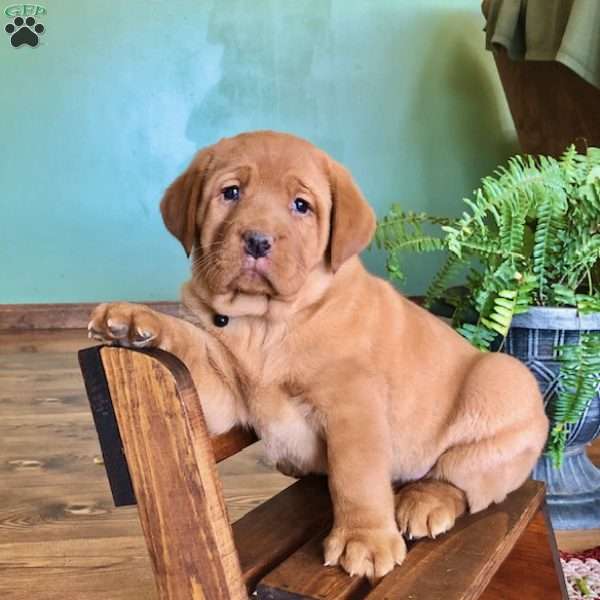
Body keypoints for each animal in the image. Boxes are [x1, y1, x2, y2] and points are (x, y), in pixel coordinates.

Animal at [90, 130, 548, 580]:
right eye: (231, 192)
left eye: (301, 206)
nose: (257, 240)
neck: (265, 323)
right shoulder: (220, 394)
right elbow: (188, 342)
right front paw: (132, 320)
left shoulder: (352, 405)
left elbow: (355, 476)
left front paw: (364, 540)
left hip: (503, 384)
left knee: (463, 479)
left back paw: (424, 501)